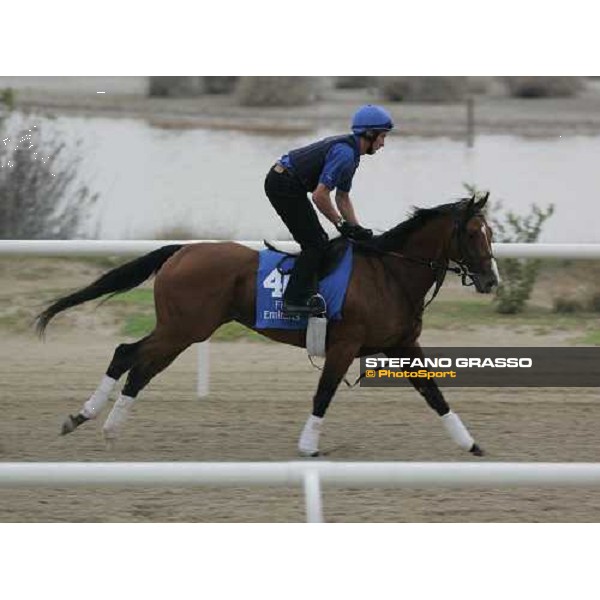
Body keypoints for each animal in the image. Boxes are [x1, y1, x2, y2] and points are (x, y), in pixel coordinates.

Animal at [35, 195, 500, 458]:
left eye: (491, 233)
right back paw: (87, 417)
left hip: (183, 331)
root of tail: (182, 250)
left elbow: (434, 394)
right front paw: (308, 446)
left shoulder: (403, 345)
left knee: (141, 368)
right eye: (473, 234)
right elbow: (324, 394)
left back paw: (107, 427)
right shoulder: (345, 345)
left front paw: (471, 444)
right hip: (183, 328)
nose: (491, 280)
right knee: (127, 355)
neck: (389, 273)